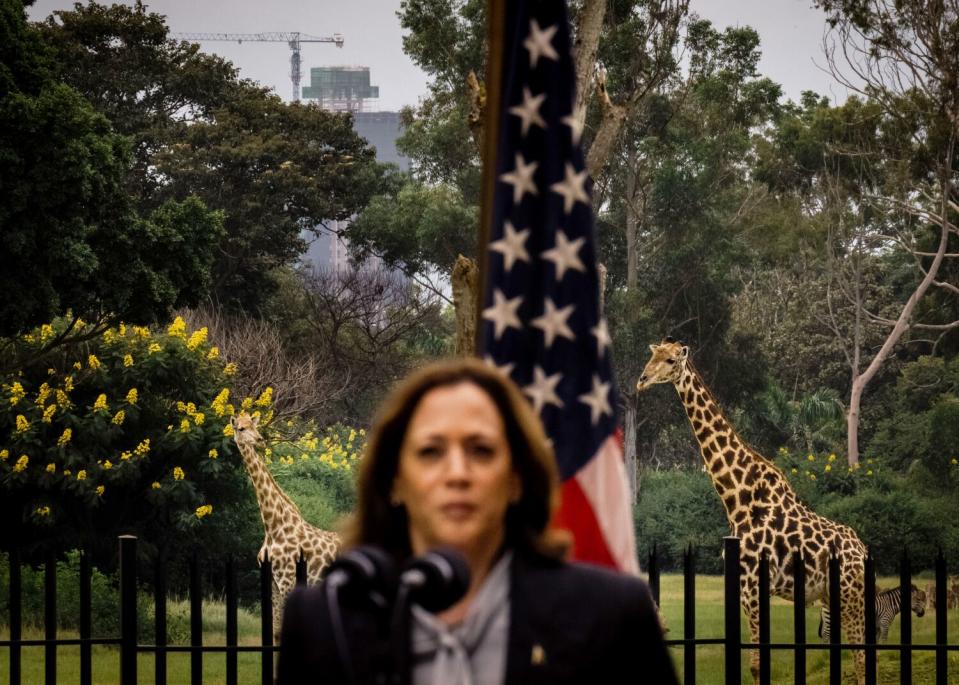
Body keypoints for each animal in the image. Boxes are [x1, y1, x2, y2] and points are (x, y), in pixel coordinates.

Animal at [231, 408, 340, 640]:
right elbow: (275, 632)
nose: (260, 440)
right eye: (241, 428)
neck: (273, 526)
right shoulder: (273, 582)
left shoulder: (288, 580)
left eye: (254, 426)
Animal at [640, 338, 872, 684]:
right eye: (652, 355)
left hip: (850, 594)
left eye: (670, 360)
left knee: (861, 653)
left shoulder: (753, 584)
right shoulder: (742, 585)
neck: (737, 497)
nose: (641, 380)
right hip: (830, 596)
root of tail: (863, 550)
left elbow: (757, 664)